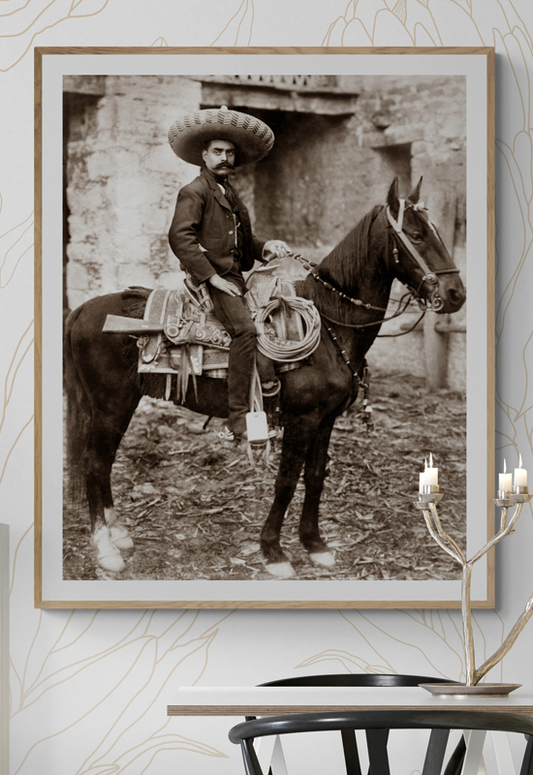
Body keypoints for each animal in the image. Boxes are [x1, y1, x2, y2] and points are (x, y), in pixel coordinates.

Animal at [64, 178, 466, 579]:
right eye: (416, 235)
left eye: (436, 232)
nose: (456, 294)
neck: (331, 325)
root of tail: (81, 309)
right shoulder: (302, 420)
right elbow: (286, 481)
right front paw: (273, 551)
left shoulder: (326, 420)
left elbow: (315, 476)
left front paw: (315, 545)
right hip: (112, 405)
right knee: (95, 463)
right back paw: (105, 548)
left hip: (118, 405)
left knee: (104, 462)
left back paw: (118, 534)